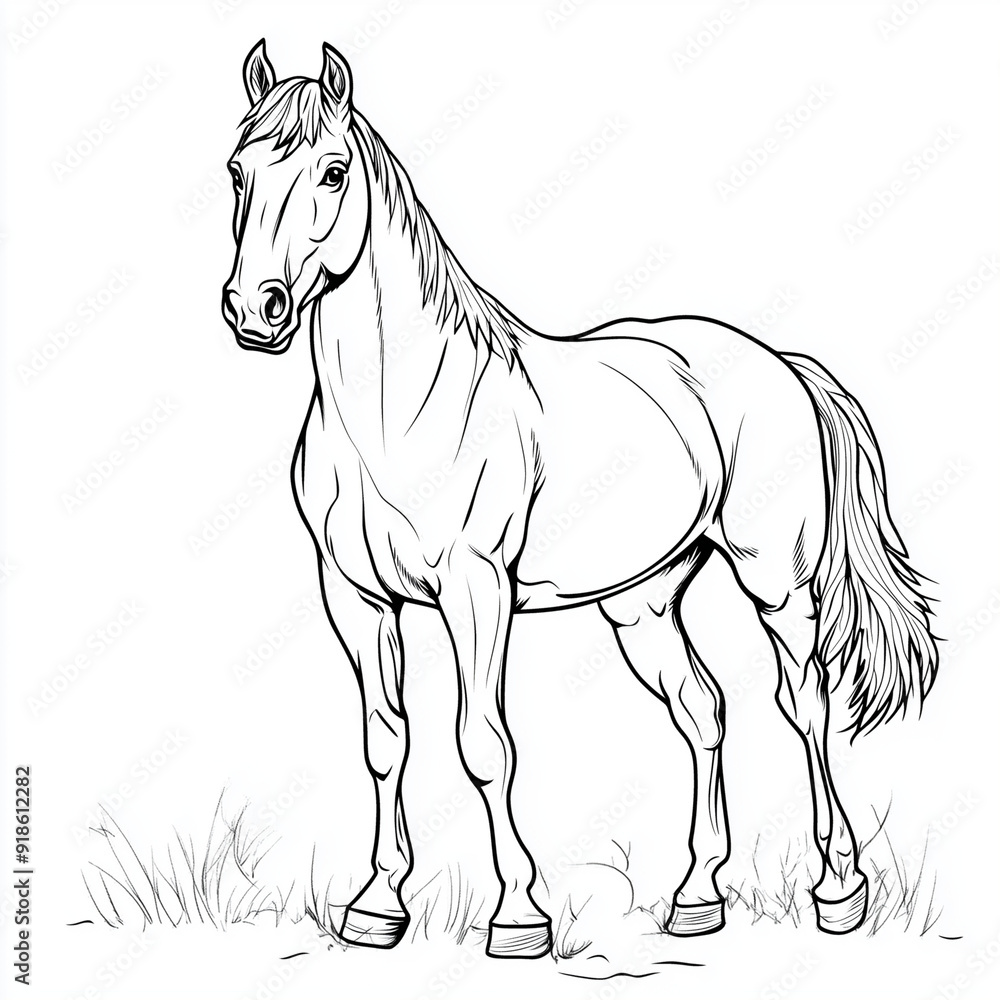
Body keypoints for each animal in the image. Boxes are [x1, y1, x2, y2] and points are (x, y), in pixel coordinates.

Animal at [221, 40, 938, 959]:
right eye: (238, 172)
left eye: (334, 171)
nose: (255, 308)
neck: (394, 409)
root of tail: (780, 362)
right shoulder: (354, 597)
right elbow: (386, 740)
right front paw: (378, 905)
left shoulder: (476, 589)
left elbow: (483, 745)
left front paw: (519, 915)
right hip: (644, 603)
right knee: (704, 709)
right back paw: (696, 897)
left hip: (775, 583)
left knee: (805, 704)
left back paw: (838, 887)